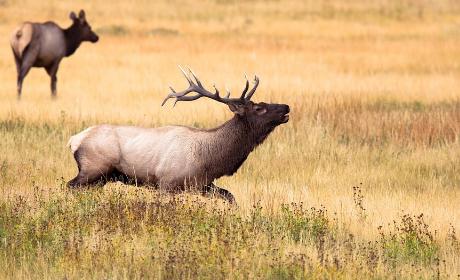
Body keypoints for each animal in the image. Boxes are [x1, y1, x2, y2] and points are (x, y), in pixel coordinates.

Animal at [66, 68, 290, 203]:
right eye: (259, 108)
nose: (286, 106)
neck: (209, 160)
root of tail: (74, 140)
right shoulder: (166, 183)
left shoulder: (203, 185)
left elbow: (231, 197)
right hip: (93, 168)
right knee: (69, 186)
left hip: (101, 178)